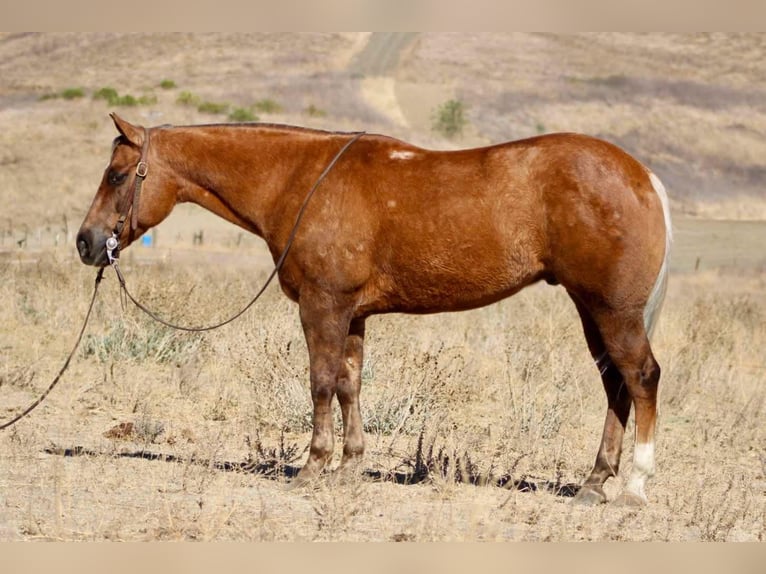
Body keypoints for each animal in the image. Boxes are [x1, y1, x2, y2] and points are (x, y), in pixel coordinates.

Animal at [79, 113, 672, 508]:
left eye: (116, 175)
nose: (86, 243)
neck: (300, 179)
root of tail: (643, 177)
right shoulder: (352, 315)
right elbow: (349, 385)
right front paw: (350, 466)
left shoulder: (322, 306)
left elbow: (320, 382)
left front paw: (313, 467)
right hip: (591, 309)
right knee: (616, 385)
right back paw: (594, 483)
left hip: (613, 310)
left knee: (641, 378)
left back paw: (635, 485)